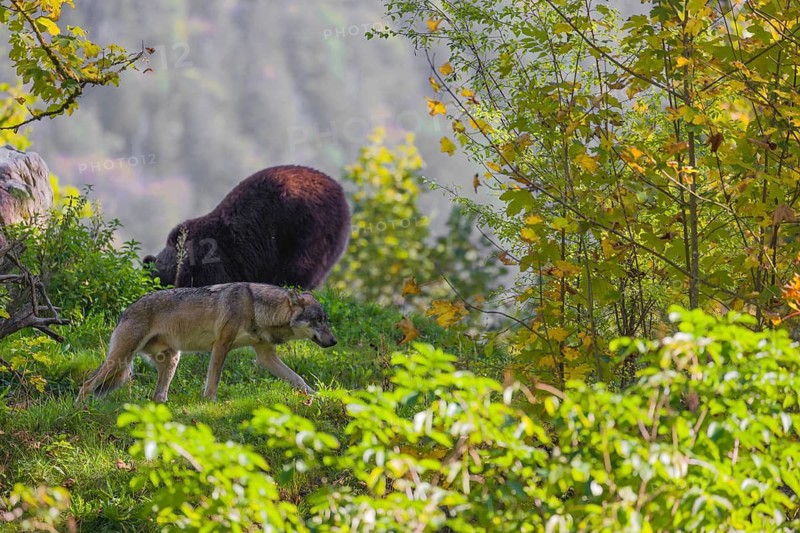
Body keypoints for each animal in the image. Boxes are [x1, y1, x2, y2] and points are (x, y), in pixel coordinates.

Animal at [76, 283, 336, 402]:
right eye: (318, 320)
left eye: (325, 320)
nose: (334, 341)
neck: (256, 307)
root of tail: (125, 310)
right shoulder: (221, 345)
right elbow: (214, 379)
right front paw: (210, 402)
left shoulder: (266, 356)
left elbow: (298, 379)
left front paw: (318, 395)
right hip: (120, 360)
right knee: (86, 384)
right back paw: (82, 408)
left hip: (171, 360)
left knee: (157, 396)